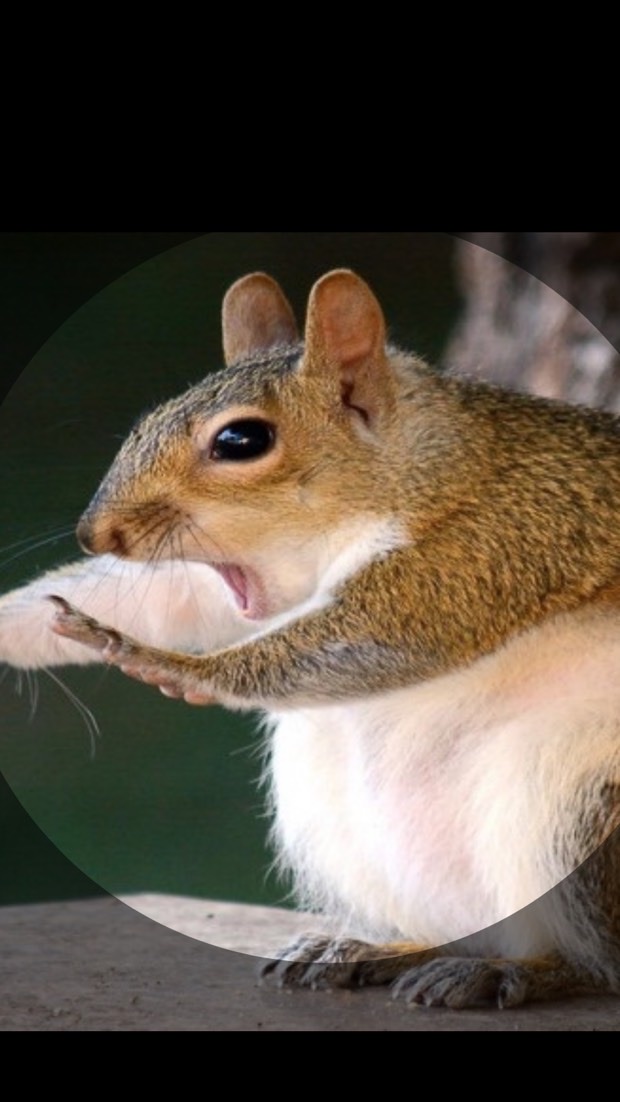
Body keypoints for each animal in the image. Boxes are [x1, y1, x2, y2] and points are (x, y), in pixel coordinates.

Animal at [2, 268, 620, 1008]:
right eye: (147, 422)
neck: (428, 464)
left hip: (583, 810)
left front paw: (164, 664)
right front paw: (20, 620)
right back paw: (377, 948)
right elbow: (164, 598)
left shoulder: (495, 544)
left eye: (241, 441)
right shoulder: (239, 582)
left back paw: (515, 971)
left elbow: (383, 637)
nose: (96, 534)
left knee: (597, 963)